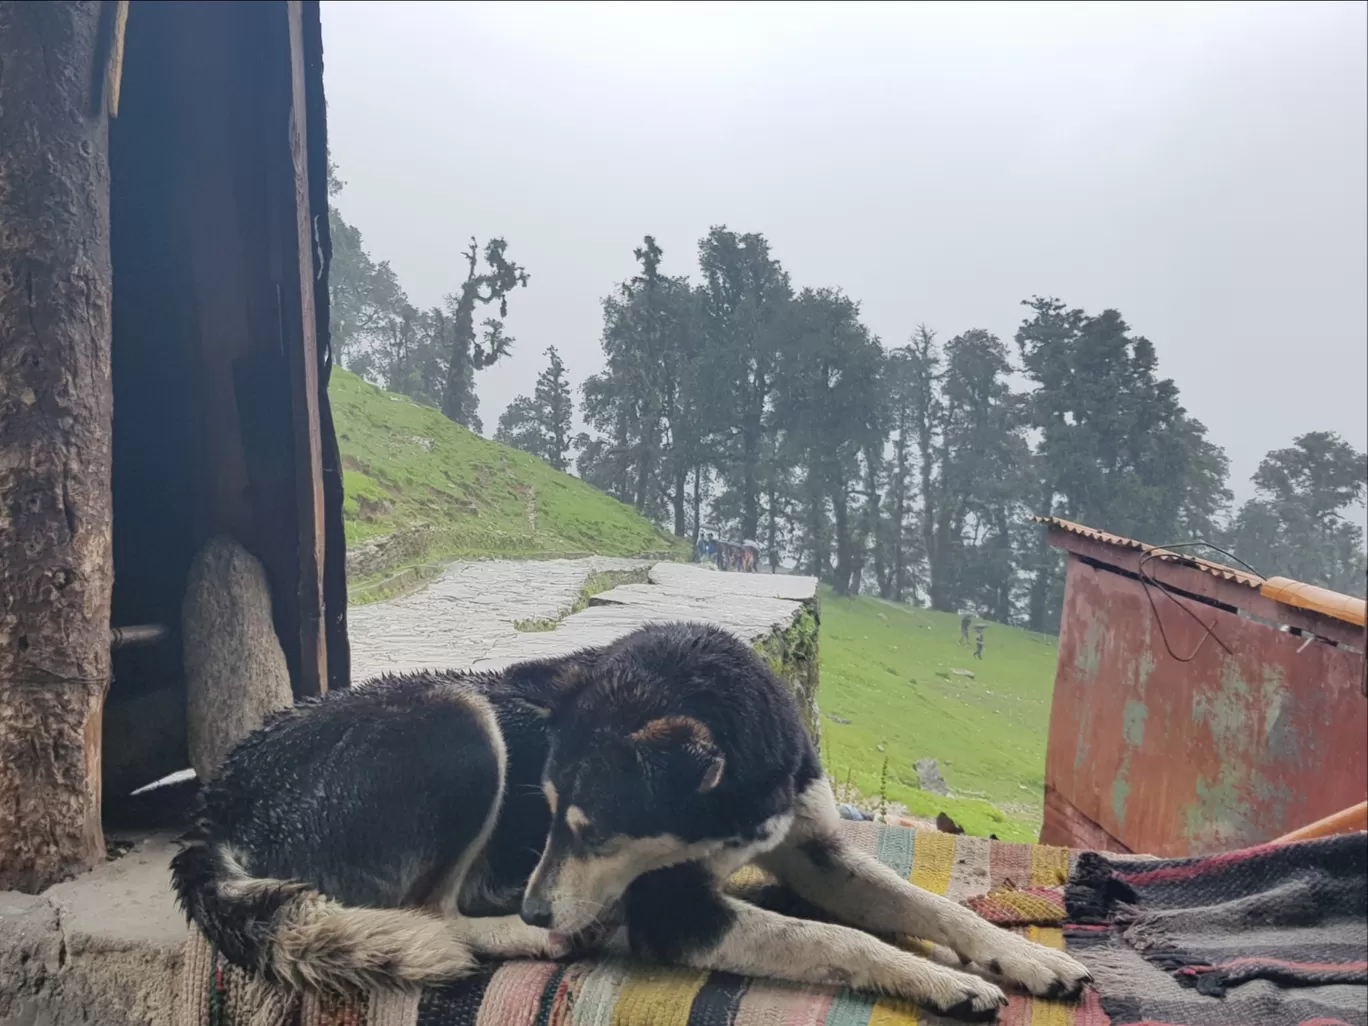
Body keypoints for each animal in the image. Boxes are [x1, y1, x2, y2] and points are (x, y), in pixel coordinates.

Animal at [173, 618, 1088, 1023]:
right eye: (548, 814)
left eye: (592, 828)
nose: (537, 903)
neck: (734, 805)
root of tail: (215, 806)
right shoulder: (674, 907)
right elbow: (841, 939)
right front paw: (944, 982)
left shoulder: (818, 850)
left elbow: (929, 907)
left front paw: (1024, 959)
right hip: (456, 723)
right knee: (429, 913)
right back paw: (525, 937)